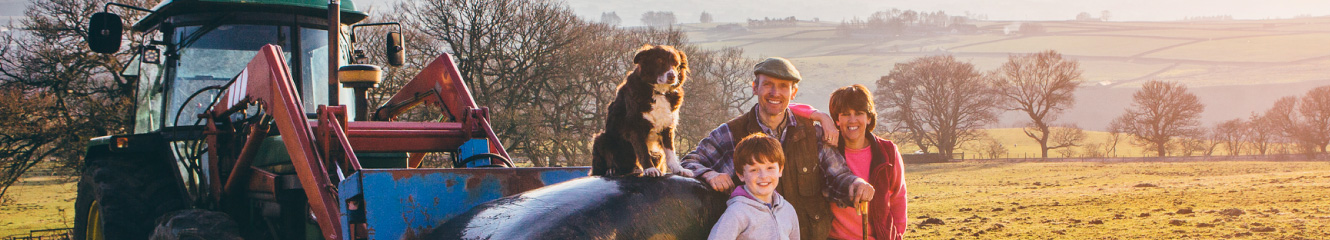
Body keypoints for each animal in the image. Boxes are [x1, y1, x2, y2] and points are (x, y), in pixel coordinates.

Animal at [595, 44, 696, 178]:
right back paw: (612, 170)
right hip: (602, 138)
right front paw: (650, 169)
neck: (658, 92)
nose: (672, 76)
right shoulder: (634, 126)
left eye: (676, 64)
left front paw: (679, 169)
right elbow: (643, 151)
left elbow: (670, 151)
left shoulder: (668, 126)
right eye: (660, 61)